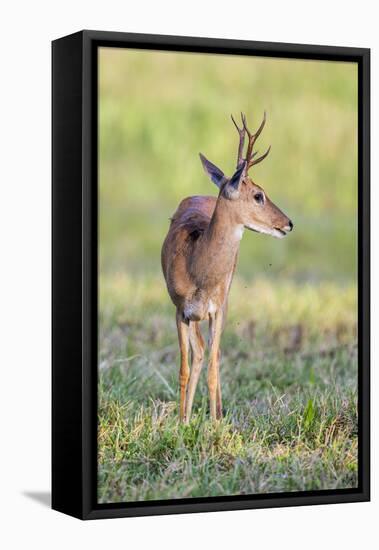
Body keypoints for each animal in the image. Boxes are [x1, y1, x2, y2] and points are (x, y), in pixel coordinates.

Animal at [160, 111, 294, 422]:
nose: (288, 223)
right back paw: (189, 416)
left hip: (224, 301)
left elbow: (212, 366)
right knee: (199, 353)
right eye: (258, 195)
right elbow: (184, 368)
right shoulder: (180, 310)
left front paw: (213, 423)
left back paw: (218, 413)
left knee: (213, 355)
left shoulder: (217, 309)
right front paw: (181, 422)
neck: (197, 268)